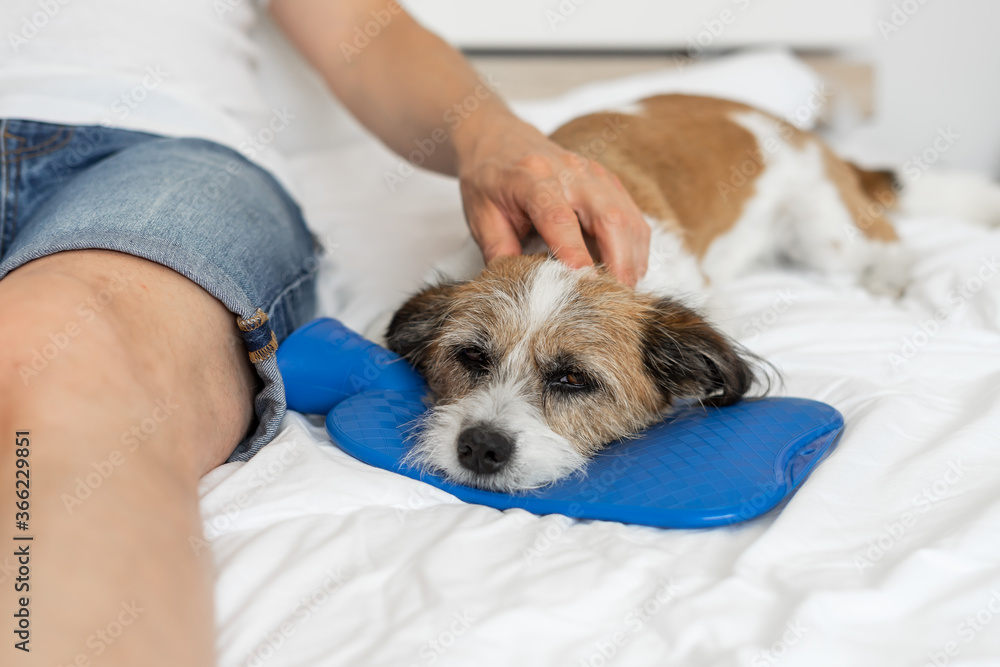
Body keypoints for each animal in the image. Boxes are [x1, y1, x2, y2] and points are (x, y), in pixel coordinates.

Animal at [384, 92, 1000, 490]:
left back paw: (891, 274)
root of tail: (808, 135)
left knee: (887, 237)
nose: (480, 447)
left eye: (573, 379)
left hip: (826, 235)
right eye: (470, 357)